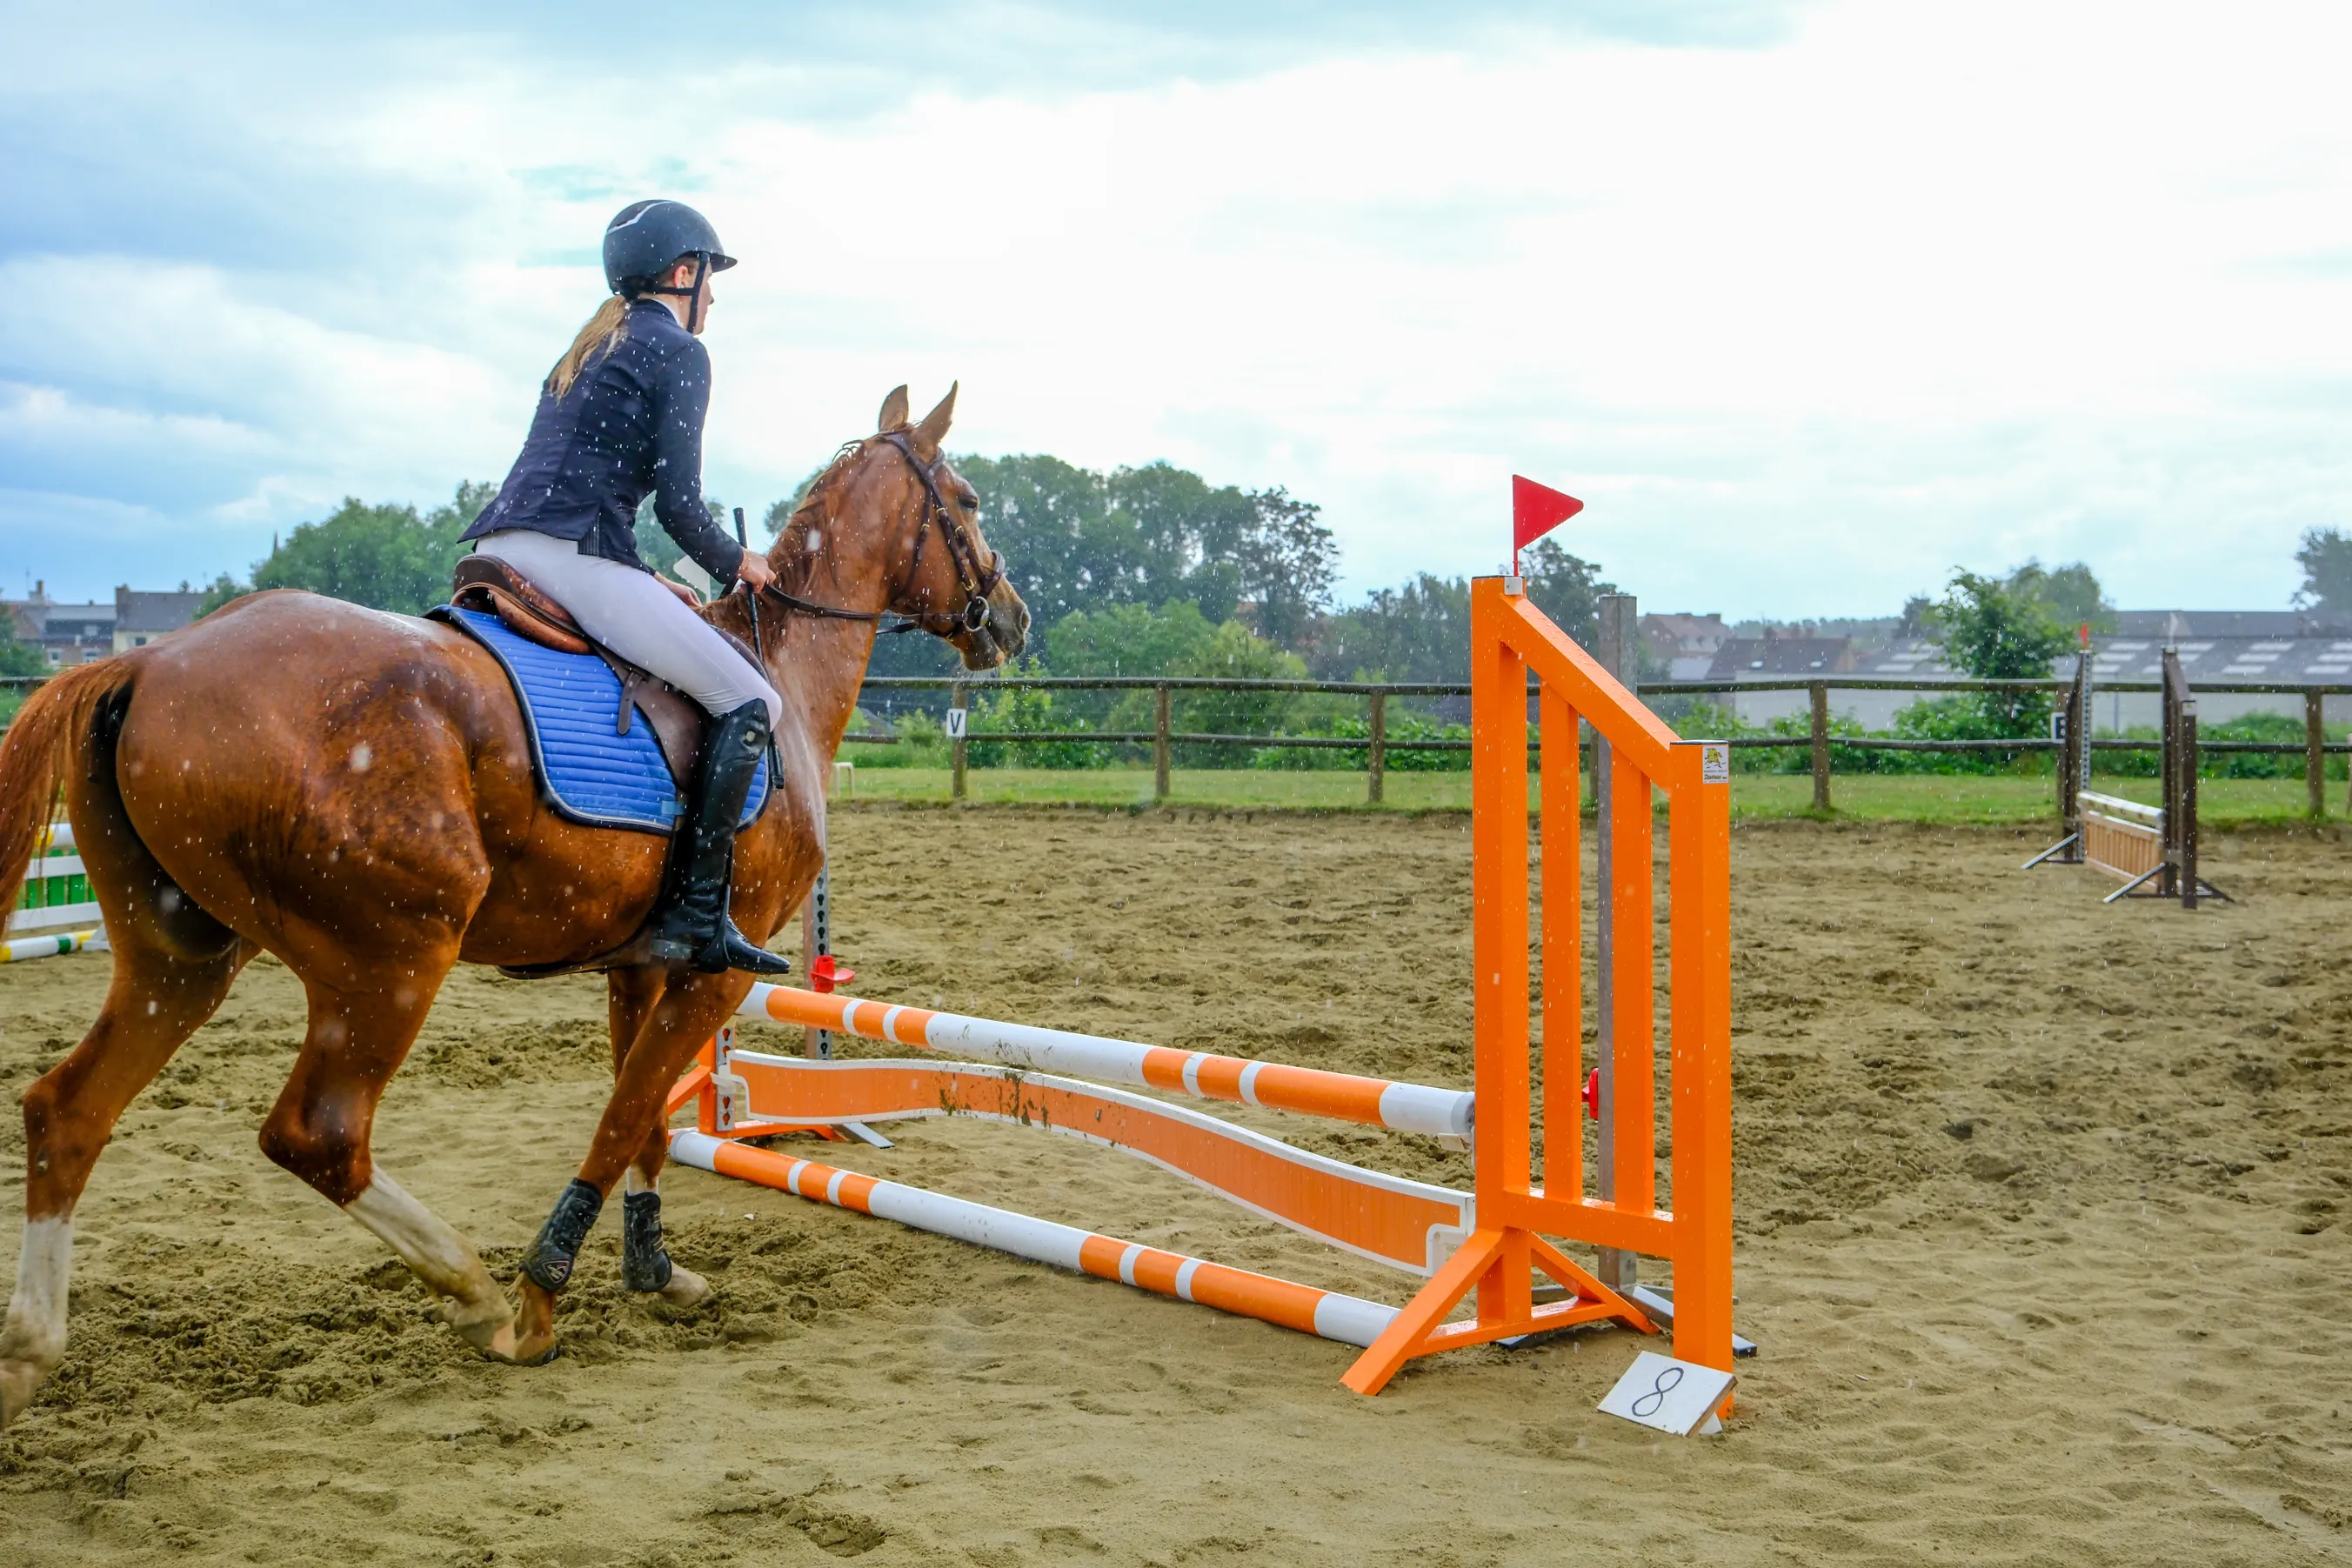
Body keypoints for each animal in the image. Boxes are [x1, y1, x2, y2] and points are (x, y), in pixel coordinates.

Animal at [0, 384, 1027, 1426]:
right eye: (970, 501)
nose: (1013, 620)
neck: (779, 670)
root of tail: (148, 664)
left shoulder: (641, 964)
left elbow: (647, 1118)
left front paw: (655, 1269)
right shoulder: (715, 976)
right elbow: (622, 1116)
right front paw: (543, 1289)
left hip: (183, 959)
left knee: (66, 1110)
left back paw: (27, 1355)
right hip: (392, 960)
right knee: (320, 1136)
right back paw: (479, 1298)